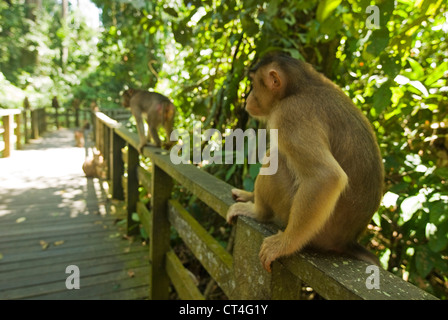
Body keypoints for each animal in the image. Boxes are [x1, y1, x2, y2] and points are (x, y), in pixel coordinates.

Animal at [228, 53, 384, 272]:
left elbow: (326, 176)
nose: (247, 98)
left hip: (308, 226)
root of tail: (347, 242)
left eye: (253, 84)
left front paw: (283, 245)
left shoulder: (290, 115)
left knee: (277, 158)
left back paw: (258, 212)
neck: (301, 87)